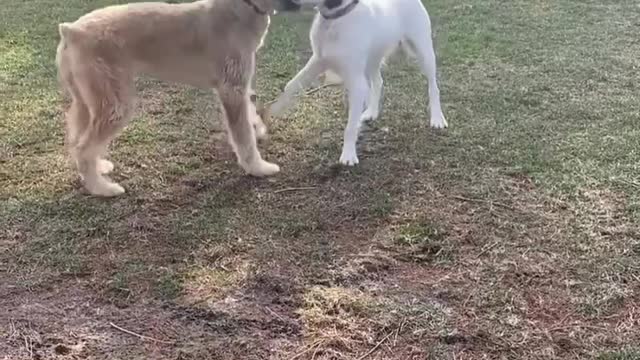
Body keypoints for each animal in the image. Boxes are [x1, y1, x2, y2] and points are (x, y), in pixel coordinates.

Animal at [56, 0, 302, 197]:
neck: (240, 8)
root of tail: (72, 30)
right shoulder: (232, 90)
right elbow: (244, 139)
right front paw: (257, 167)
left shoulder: (240, 87)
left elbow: (250, 116)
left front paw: (258, 128)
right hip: (116, 106)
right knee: (83, 148)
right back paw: (101, 188)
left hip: (89, 102)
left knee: (78, 140)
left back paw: (98, 168)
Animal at [268, 0, 444, 166]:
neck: (337, 19)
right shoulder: (317, 62)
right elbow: (290, 86)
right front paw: (271, 113)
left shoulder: (355, 82)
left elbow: (350, 127)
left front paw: (348, 154)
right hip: (372, 58)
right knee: (378, 82)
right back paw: (371, 112)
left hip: (424, 51)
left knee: (433, 87)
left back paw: (437, 118)